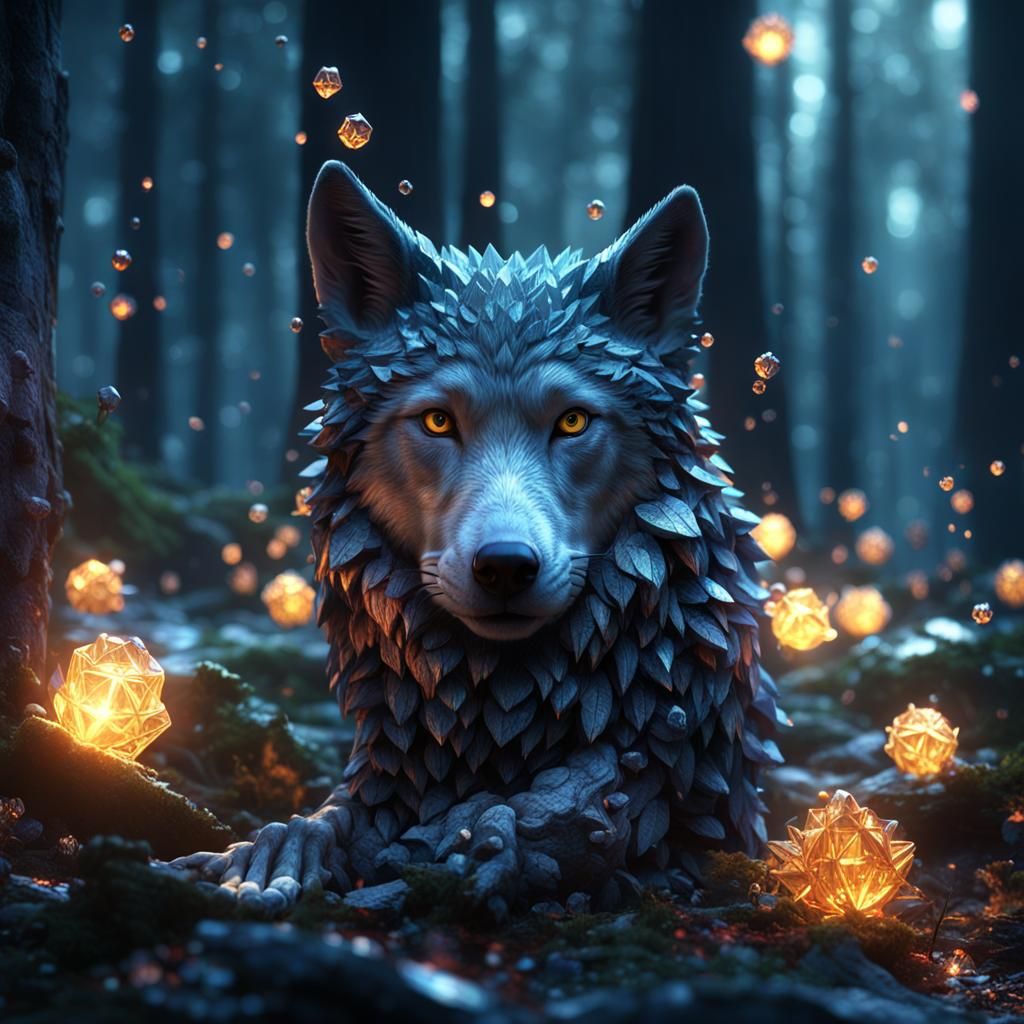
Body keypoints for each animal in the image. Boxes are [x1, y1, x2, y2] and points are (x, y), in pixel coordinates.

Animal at [174, 162, 783, 915]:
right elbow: (323, 819)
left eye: (573, 422)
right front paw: (273, 855)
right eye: (438, 422)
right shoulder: (386, 780)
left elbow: (595, 807)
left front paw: (498, 833)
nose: (505, 567)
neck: (509, 708)